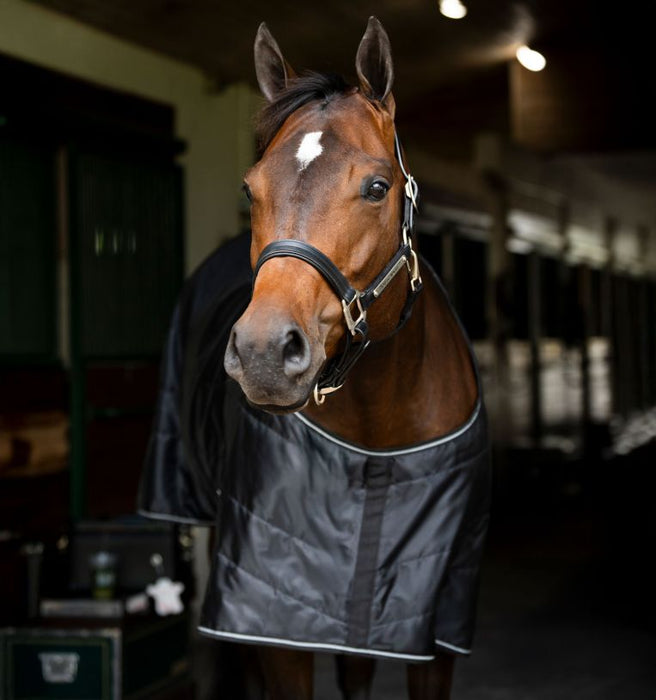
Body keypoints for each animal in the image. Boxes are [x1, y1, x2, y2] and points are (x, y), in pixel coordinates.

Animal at [215, 16, 490, 700]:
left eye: (377, 187)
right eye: (250, 189)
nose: (263, 352)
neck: (377, 435)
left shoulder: (431, 630)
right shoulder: (277, 625)